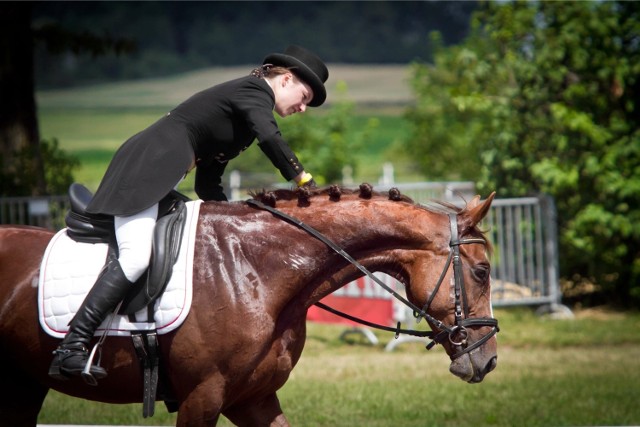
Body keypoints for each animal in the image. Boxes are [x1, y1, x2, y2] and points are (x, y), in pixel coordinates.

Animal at [0, 185, 500, 427]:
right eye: (482, 271)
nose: (490, 361)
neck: (255, 268)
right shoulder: (201, 397)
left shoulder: (253, 399)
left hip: (23, 384)